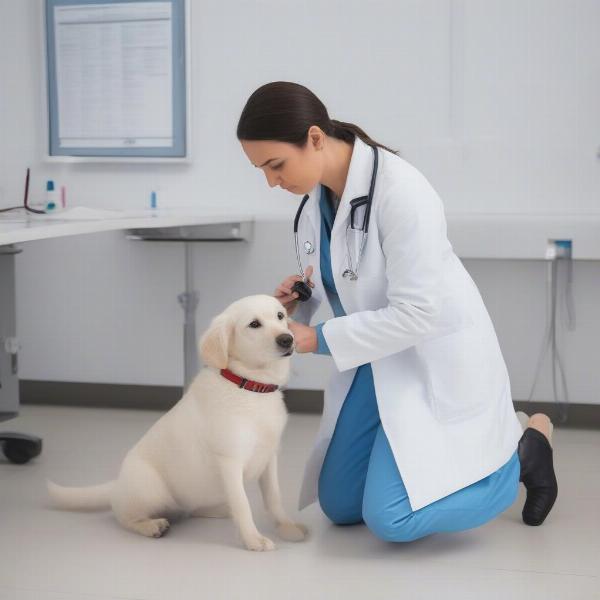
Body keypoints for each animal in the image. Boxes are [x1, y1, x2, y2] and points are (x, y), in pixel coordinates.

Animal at [46, 292, 308, 552]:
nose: (288, 339)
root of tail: (117, 484)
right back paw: (151, 526)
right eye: (254, 324)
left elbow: (274, 498)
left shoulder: (269, 456)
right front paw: (253, 539)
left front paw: (287, 528)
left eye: (280, 316)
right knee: (122, 515)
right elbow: (243, 504)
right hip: (149, 489)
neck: (250, 388)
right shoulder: (230, 460)